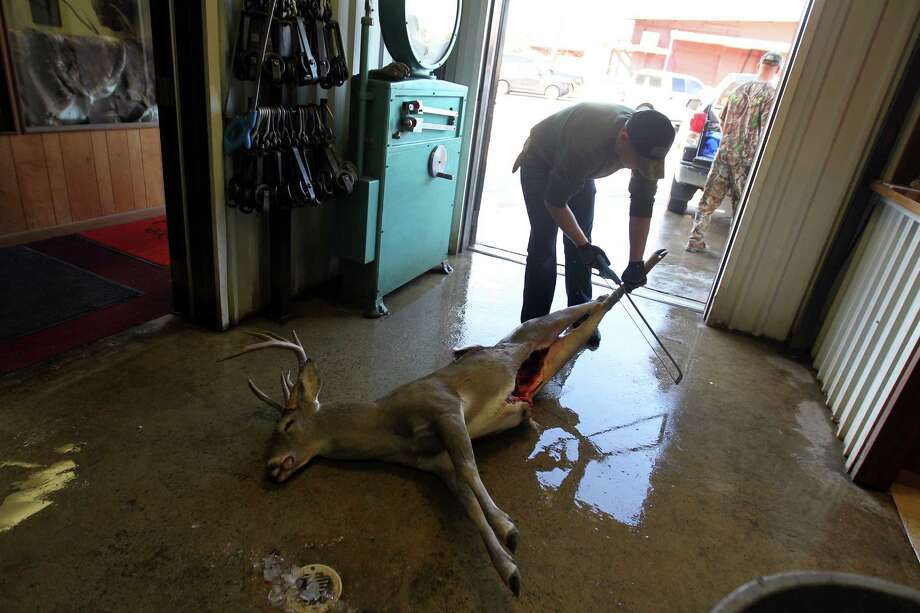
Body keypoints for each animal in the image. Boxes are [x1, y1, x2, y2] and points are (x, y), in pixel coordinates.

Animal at [222, 251, 667, 596]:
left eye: (286, 425)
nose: (270, 467)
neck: (388, 425)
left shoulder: (444, 406)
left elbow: (471, 470)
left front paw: (509, 529)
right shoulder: (432, 463)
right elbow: (467, 502)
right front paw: (509, 569)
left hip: (538, 326)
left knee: (594, 304)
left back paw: (640, 267)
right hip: (550, 351)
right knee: (588, 321)